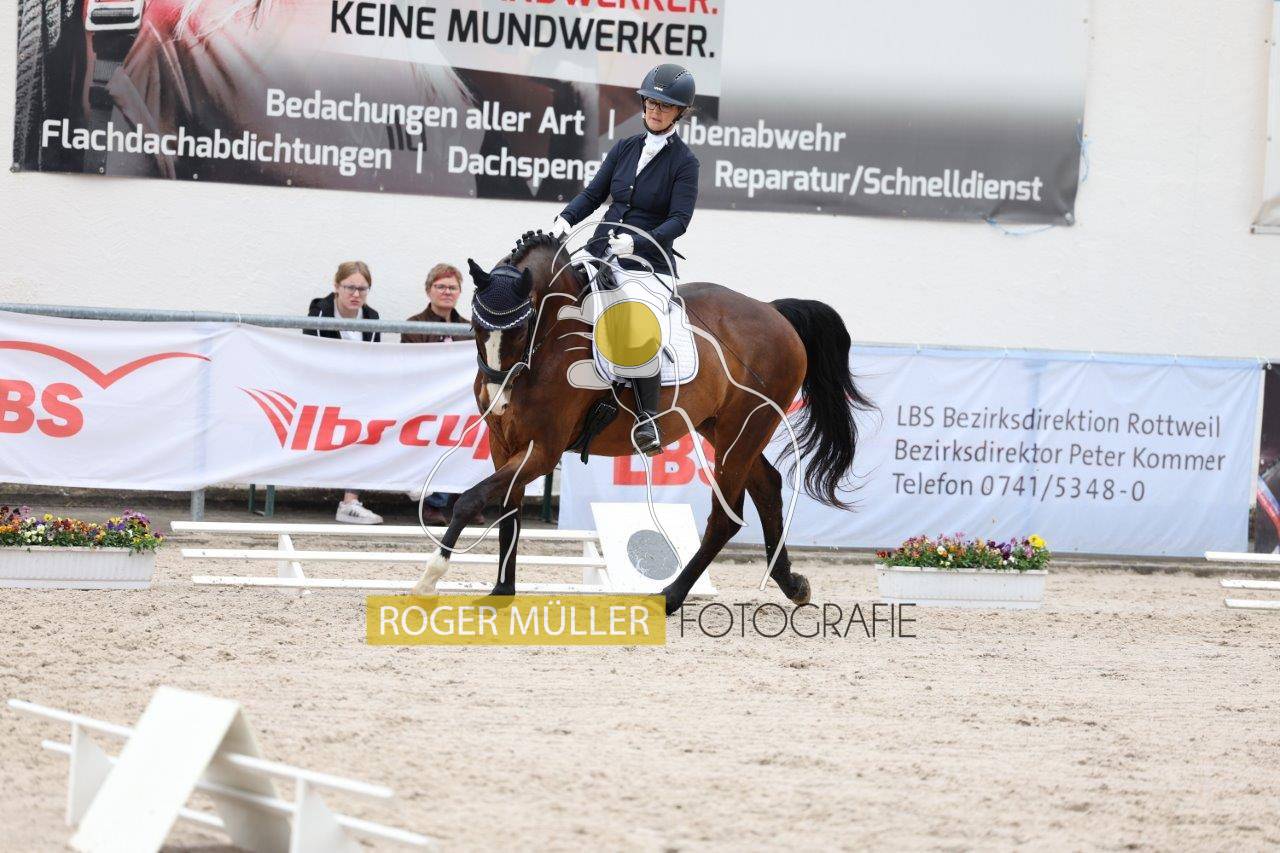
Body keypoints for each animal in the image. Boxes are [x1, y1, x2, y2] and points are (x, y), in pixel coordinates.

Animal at [412, 230, 872, 615]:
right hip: (724, 429)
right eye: (475, 326)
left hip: (743, 431)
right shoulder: (503, 443)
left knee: (726, 517)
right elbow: (507, 509)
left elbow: (470, 500)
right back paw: (792, 583)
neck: (549, 343)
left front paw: (430, 578)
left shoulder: (542, 451)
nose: (498, 399)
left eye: (521, 329)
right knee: (768, 487)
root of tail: (773, 312)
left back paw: (670, 596)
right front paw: (501, 593)